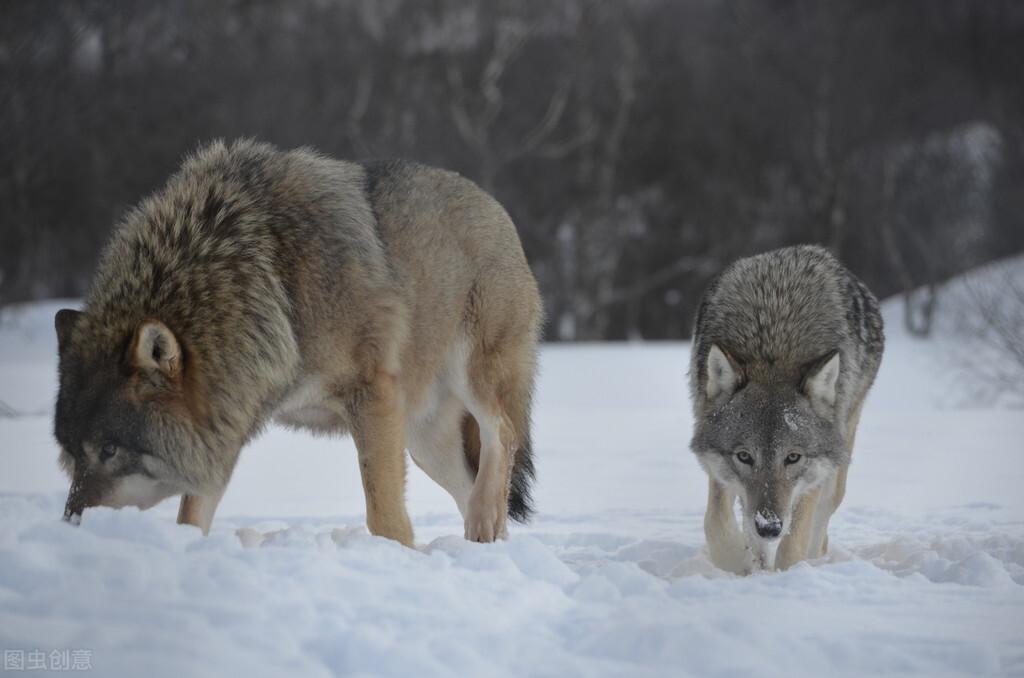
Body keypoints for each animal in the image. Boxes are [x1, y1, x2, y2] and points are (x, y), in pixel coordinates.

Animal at [51, 139, 544, 548]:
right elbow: (192, 515)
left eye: (110, 451)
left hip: (468, 382)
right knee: (472, 481)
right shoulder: (232, 412)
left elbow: (384, 516)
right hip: (423, 442)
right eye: (70, 454)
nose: (70, 523)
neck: (268, 281)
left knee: (503, 434)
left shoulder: (372, 393)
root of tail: (494, 206)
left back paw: (483, 523)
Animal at [688, 245, 880, 573]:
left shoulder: (812, 478)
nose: (769, 527)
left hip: (838, 463)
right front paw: (742, 566)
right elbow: (717, 524)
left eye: (793, 457)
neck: (773, 344)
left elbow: (794, 545)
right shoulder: (719, 468)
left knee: (820, 529)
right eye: (744, 456)